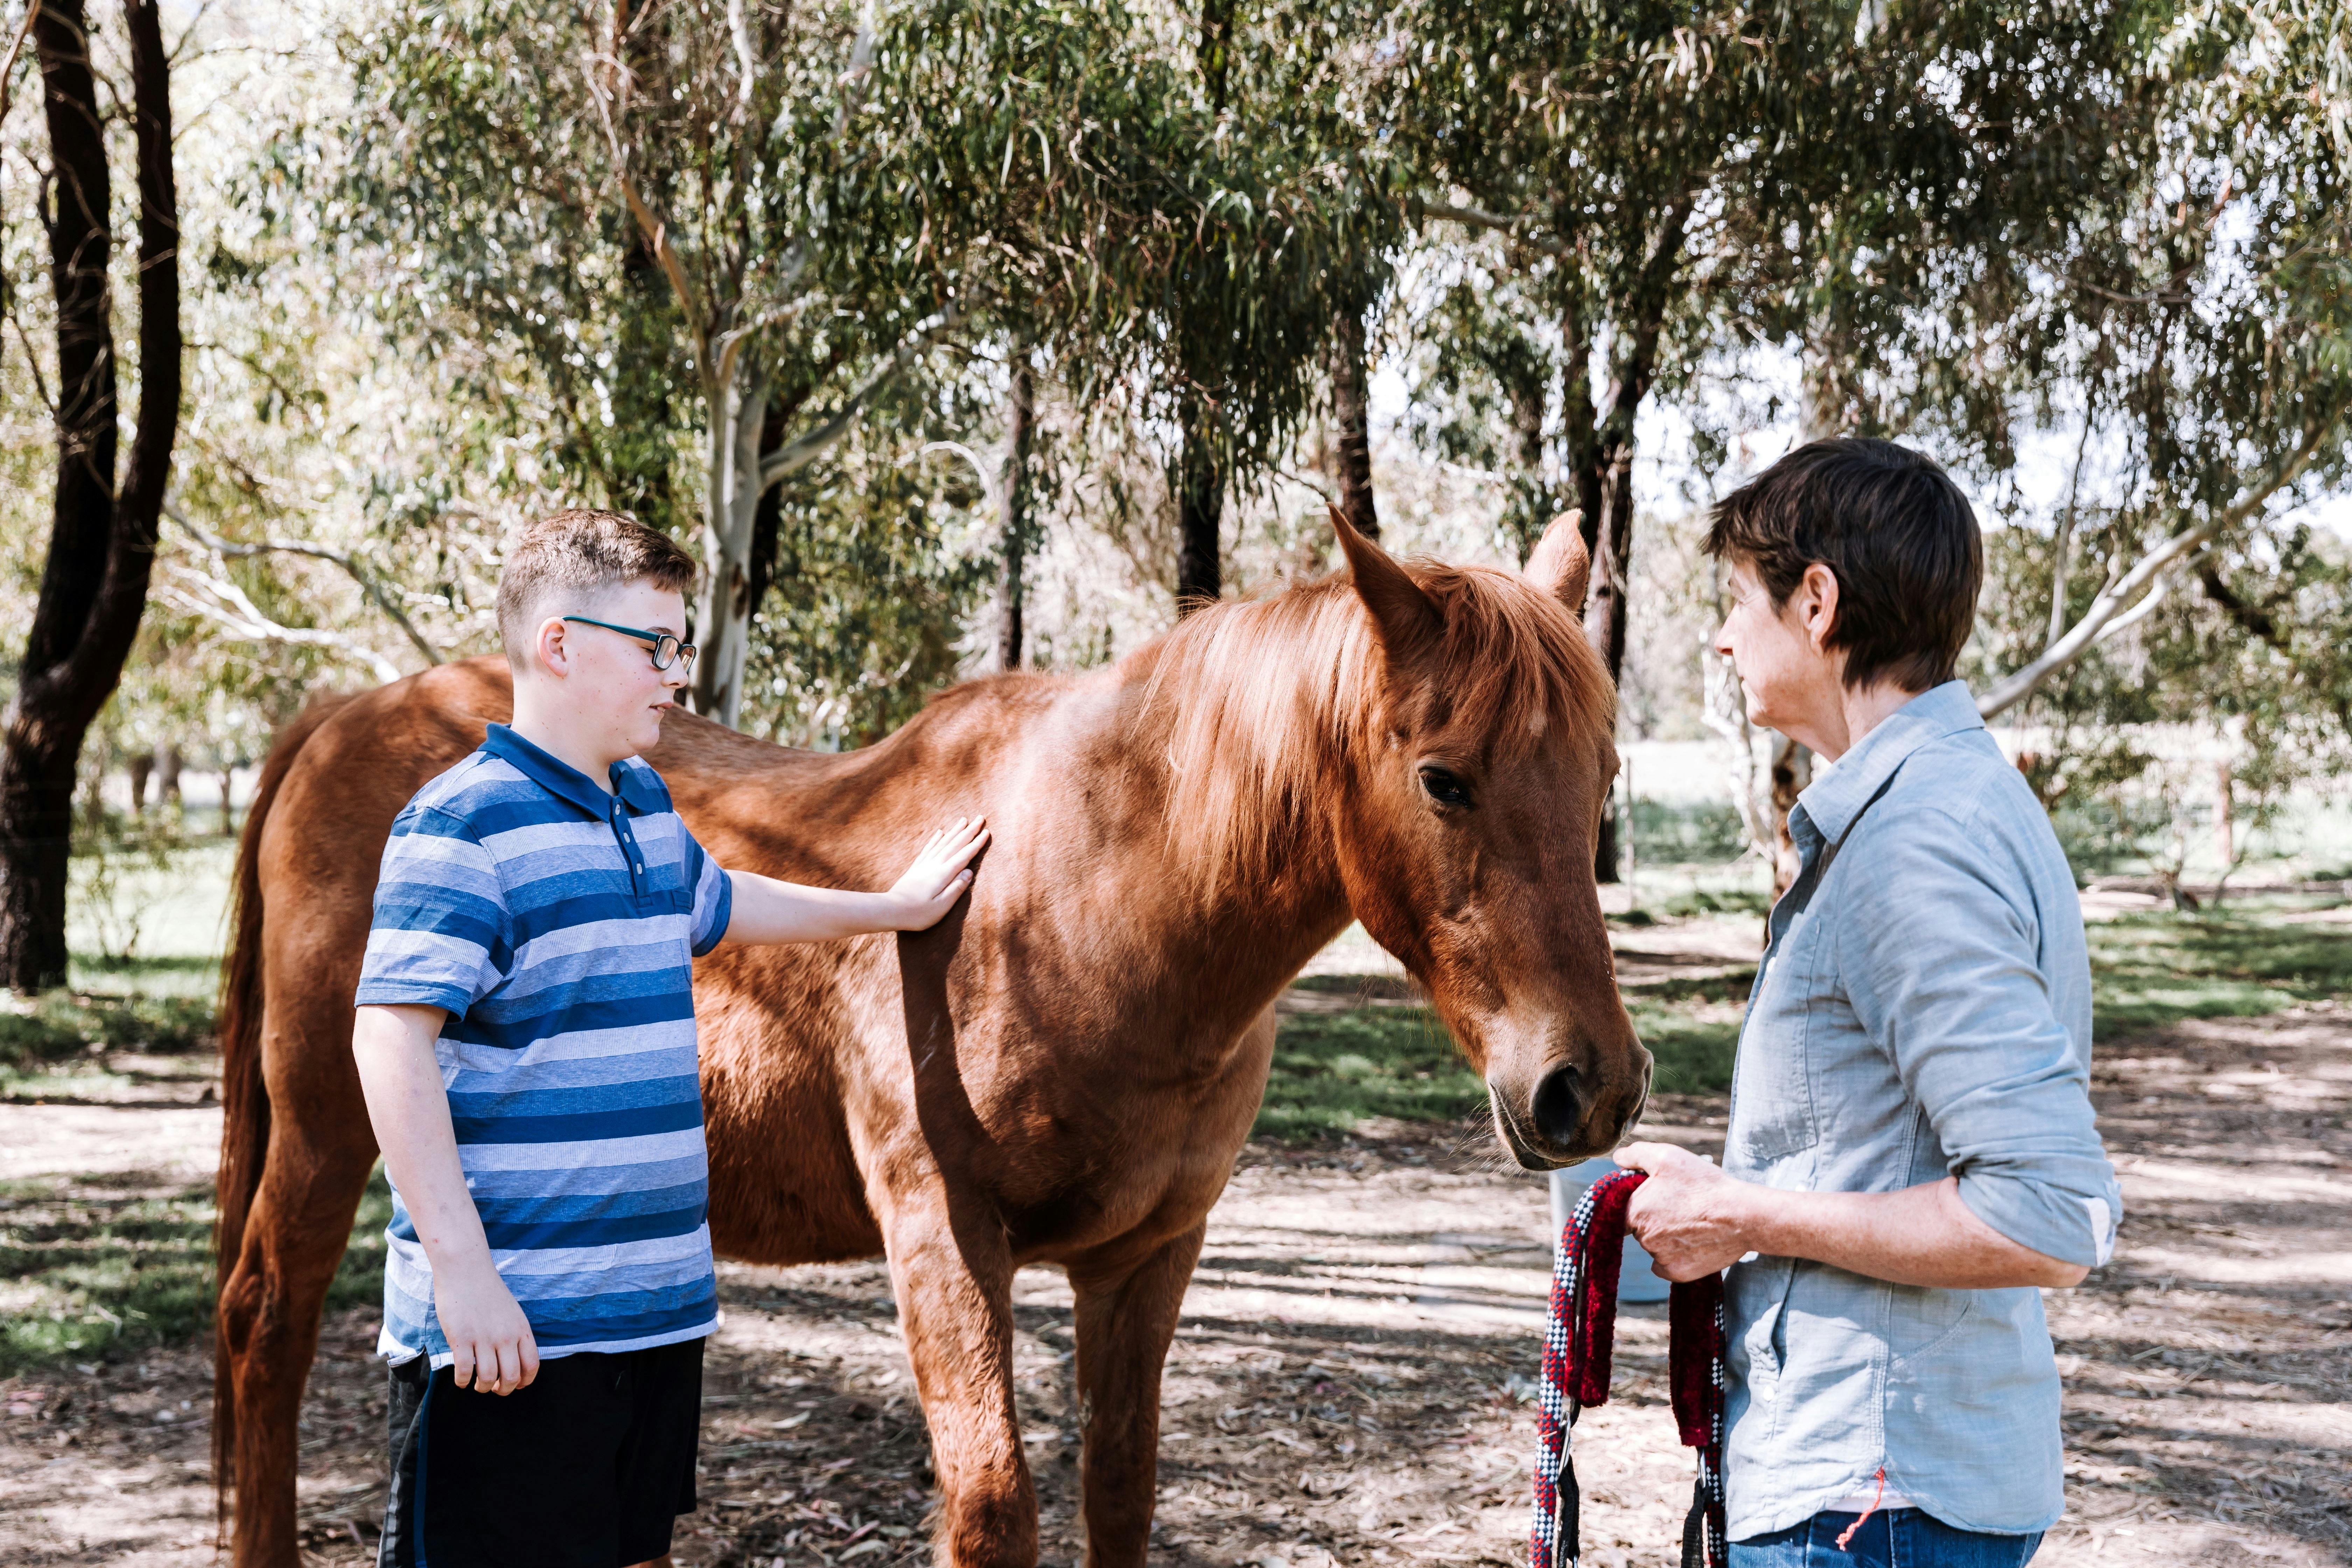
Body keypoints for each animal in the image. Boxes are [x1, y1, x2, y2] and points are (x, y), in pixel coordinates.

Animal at [211, 512, 1648, 1567]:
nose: (1586, 1087)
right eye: (1442, 777)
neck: (1080, 898)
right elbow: (990, 1509)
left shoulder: (1148, 1254)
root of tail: (336, 723)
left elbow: (1119, 1493)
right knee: (266, 1323)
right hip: (332, 1129)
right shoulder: (945, 1238)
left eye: (1601, 775)